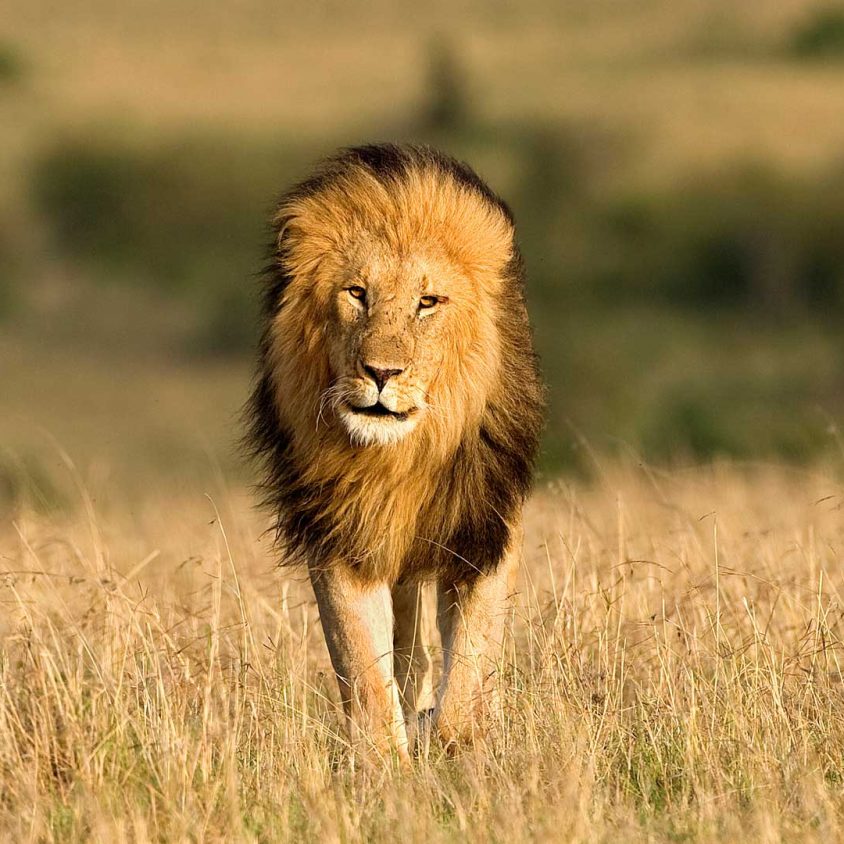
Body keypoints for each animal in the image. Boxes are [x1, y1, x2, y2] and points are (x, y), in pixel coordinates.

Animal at [247, 143, 544, 760]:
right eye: (357, 293)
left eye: (427, 302)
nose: (381, 373)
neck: (400, 459)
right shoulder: (342, 533)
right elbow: (363, 666)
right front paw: (385, 764)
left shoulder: (485, 528)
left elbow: (472, 663)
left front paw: (452, 739)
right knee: (409, 654)